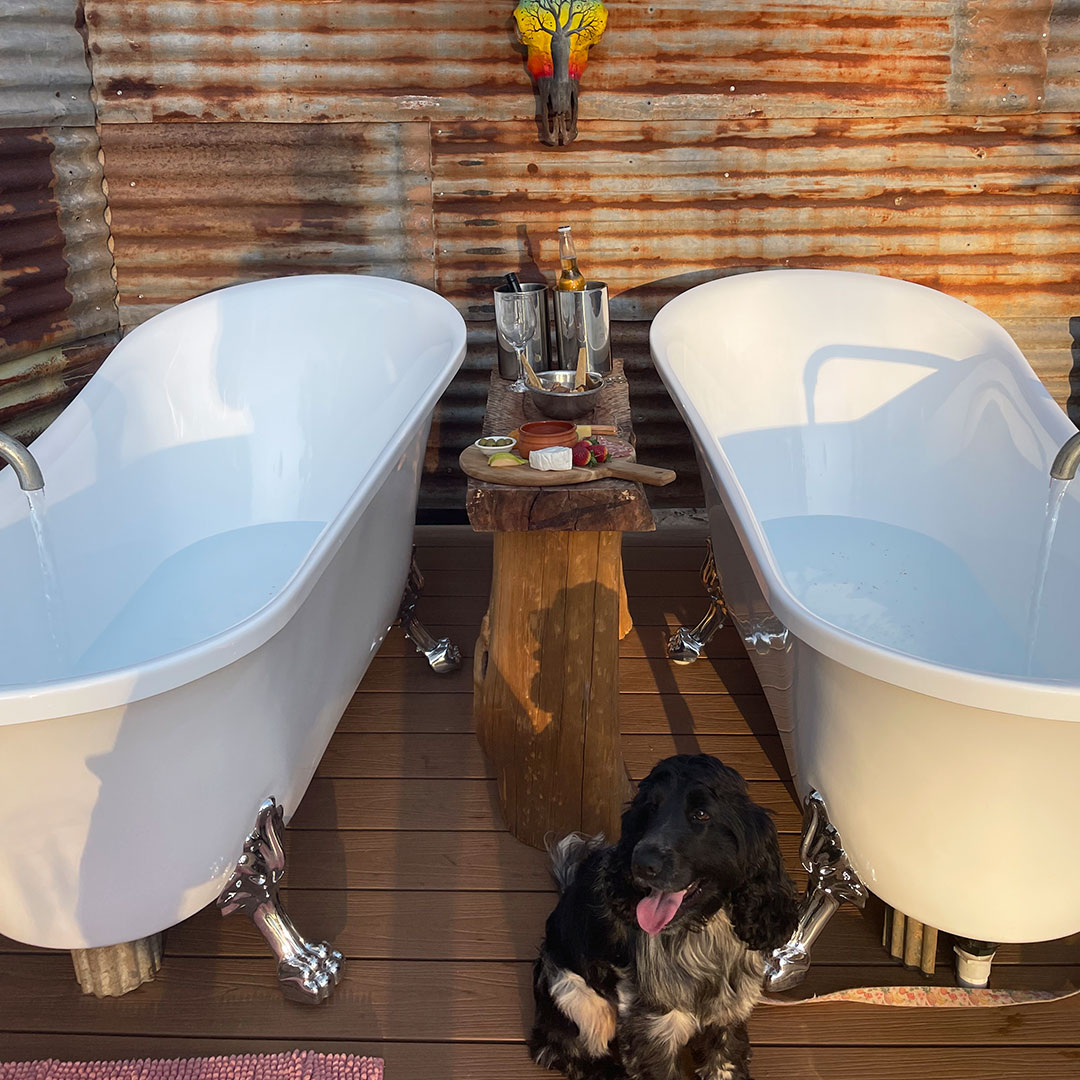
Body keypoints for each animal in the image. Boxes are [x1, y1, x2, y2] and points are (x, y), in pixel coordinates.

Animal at [527, 756, 799, 1075]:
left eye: (701, 814)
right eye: (649, 808)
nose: (641, 864)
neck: (705, 931)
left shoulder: (730, 1013)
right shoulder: (652, 1028)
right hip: (576, 995)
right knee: (557, 1047)